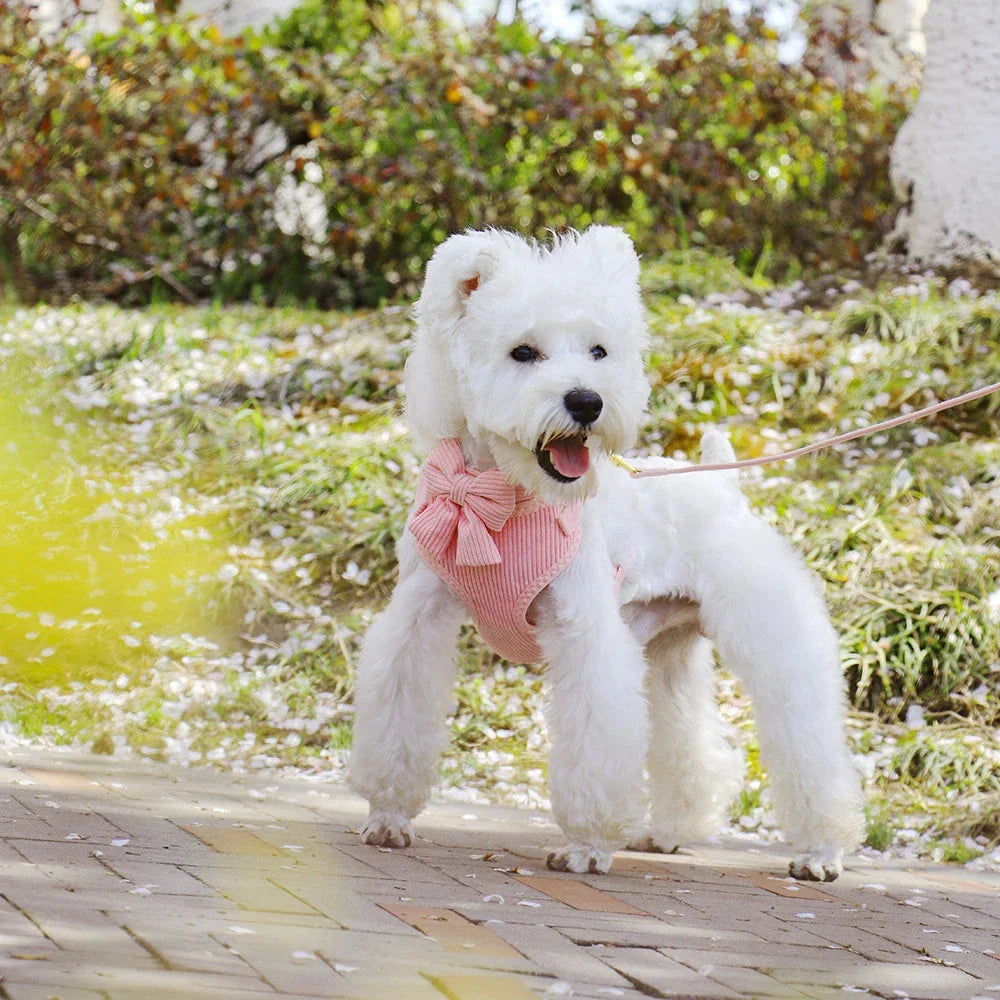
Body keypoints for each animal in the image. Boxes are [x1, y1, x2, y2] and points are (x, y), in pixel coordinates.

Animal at [348, 225, 864, 876]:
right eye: (523, 352)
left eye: (599, 350)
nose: (587, 403)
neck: (505, 498)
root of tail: (721, 486)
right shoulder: (418, 620)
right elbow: (398, 723)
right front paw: (388, 816)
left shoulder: (583, 632)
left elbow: (595, 745)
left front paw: (587, 845)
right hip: (665, 657)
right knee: (692, 745)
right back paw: (670, 830)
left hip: (772, 642)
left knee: (807, 741)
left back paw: (821, 849)